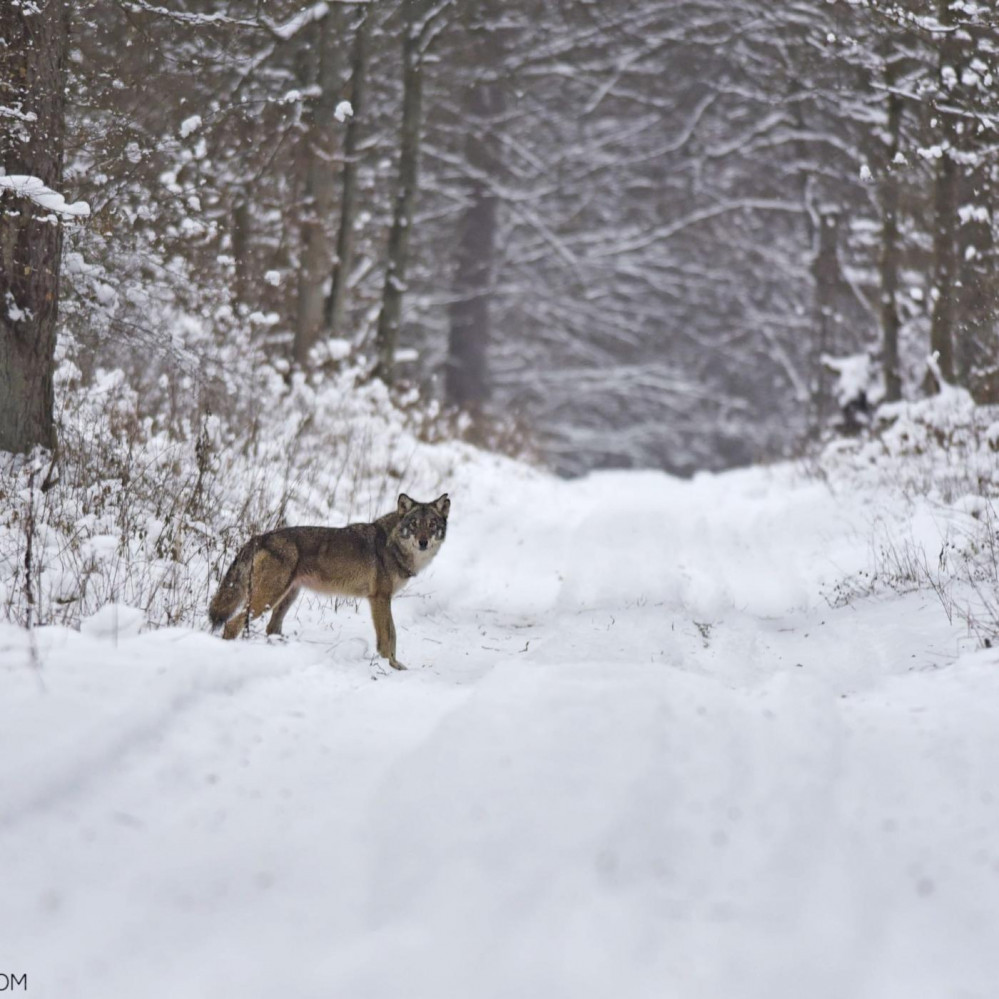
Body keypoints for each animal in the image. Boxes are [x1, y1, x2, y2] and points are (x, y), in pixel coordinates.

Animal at [209, 494, 452, 672]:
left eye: (432, 524)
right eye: (414, 524)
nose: (423, 542)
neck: (393, 545)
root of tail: (259, 537)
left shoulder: (383, 599)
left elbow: (392, 634)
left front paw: (396, 664)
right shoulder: (379, 598)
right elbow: (388, 636)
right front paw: (390, 665)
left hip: (287, 596)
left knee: (271, 628)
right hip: (268, 599)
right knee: (232, 624)